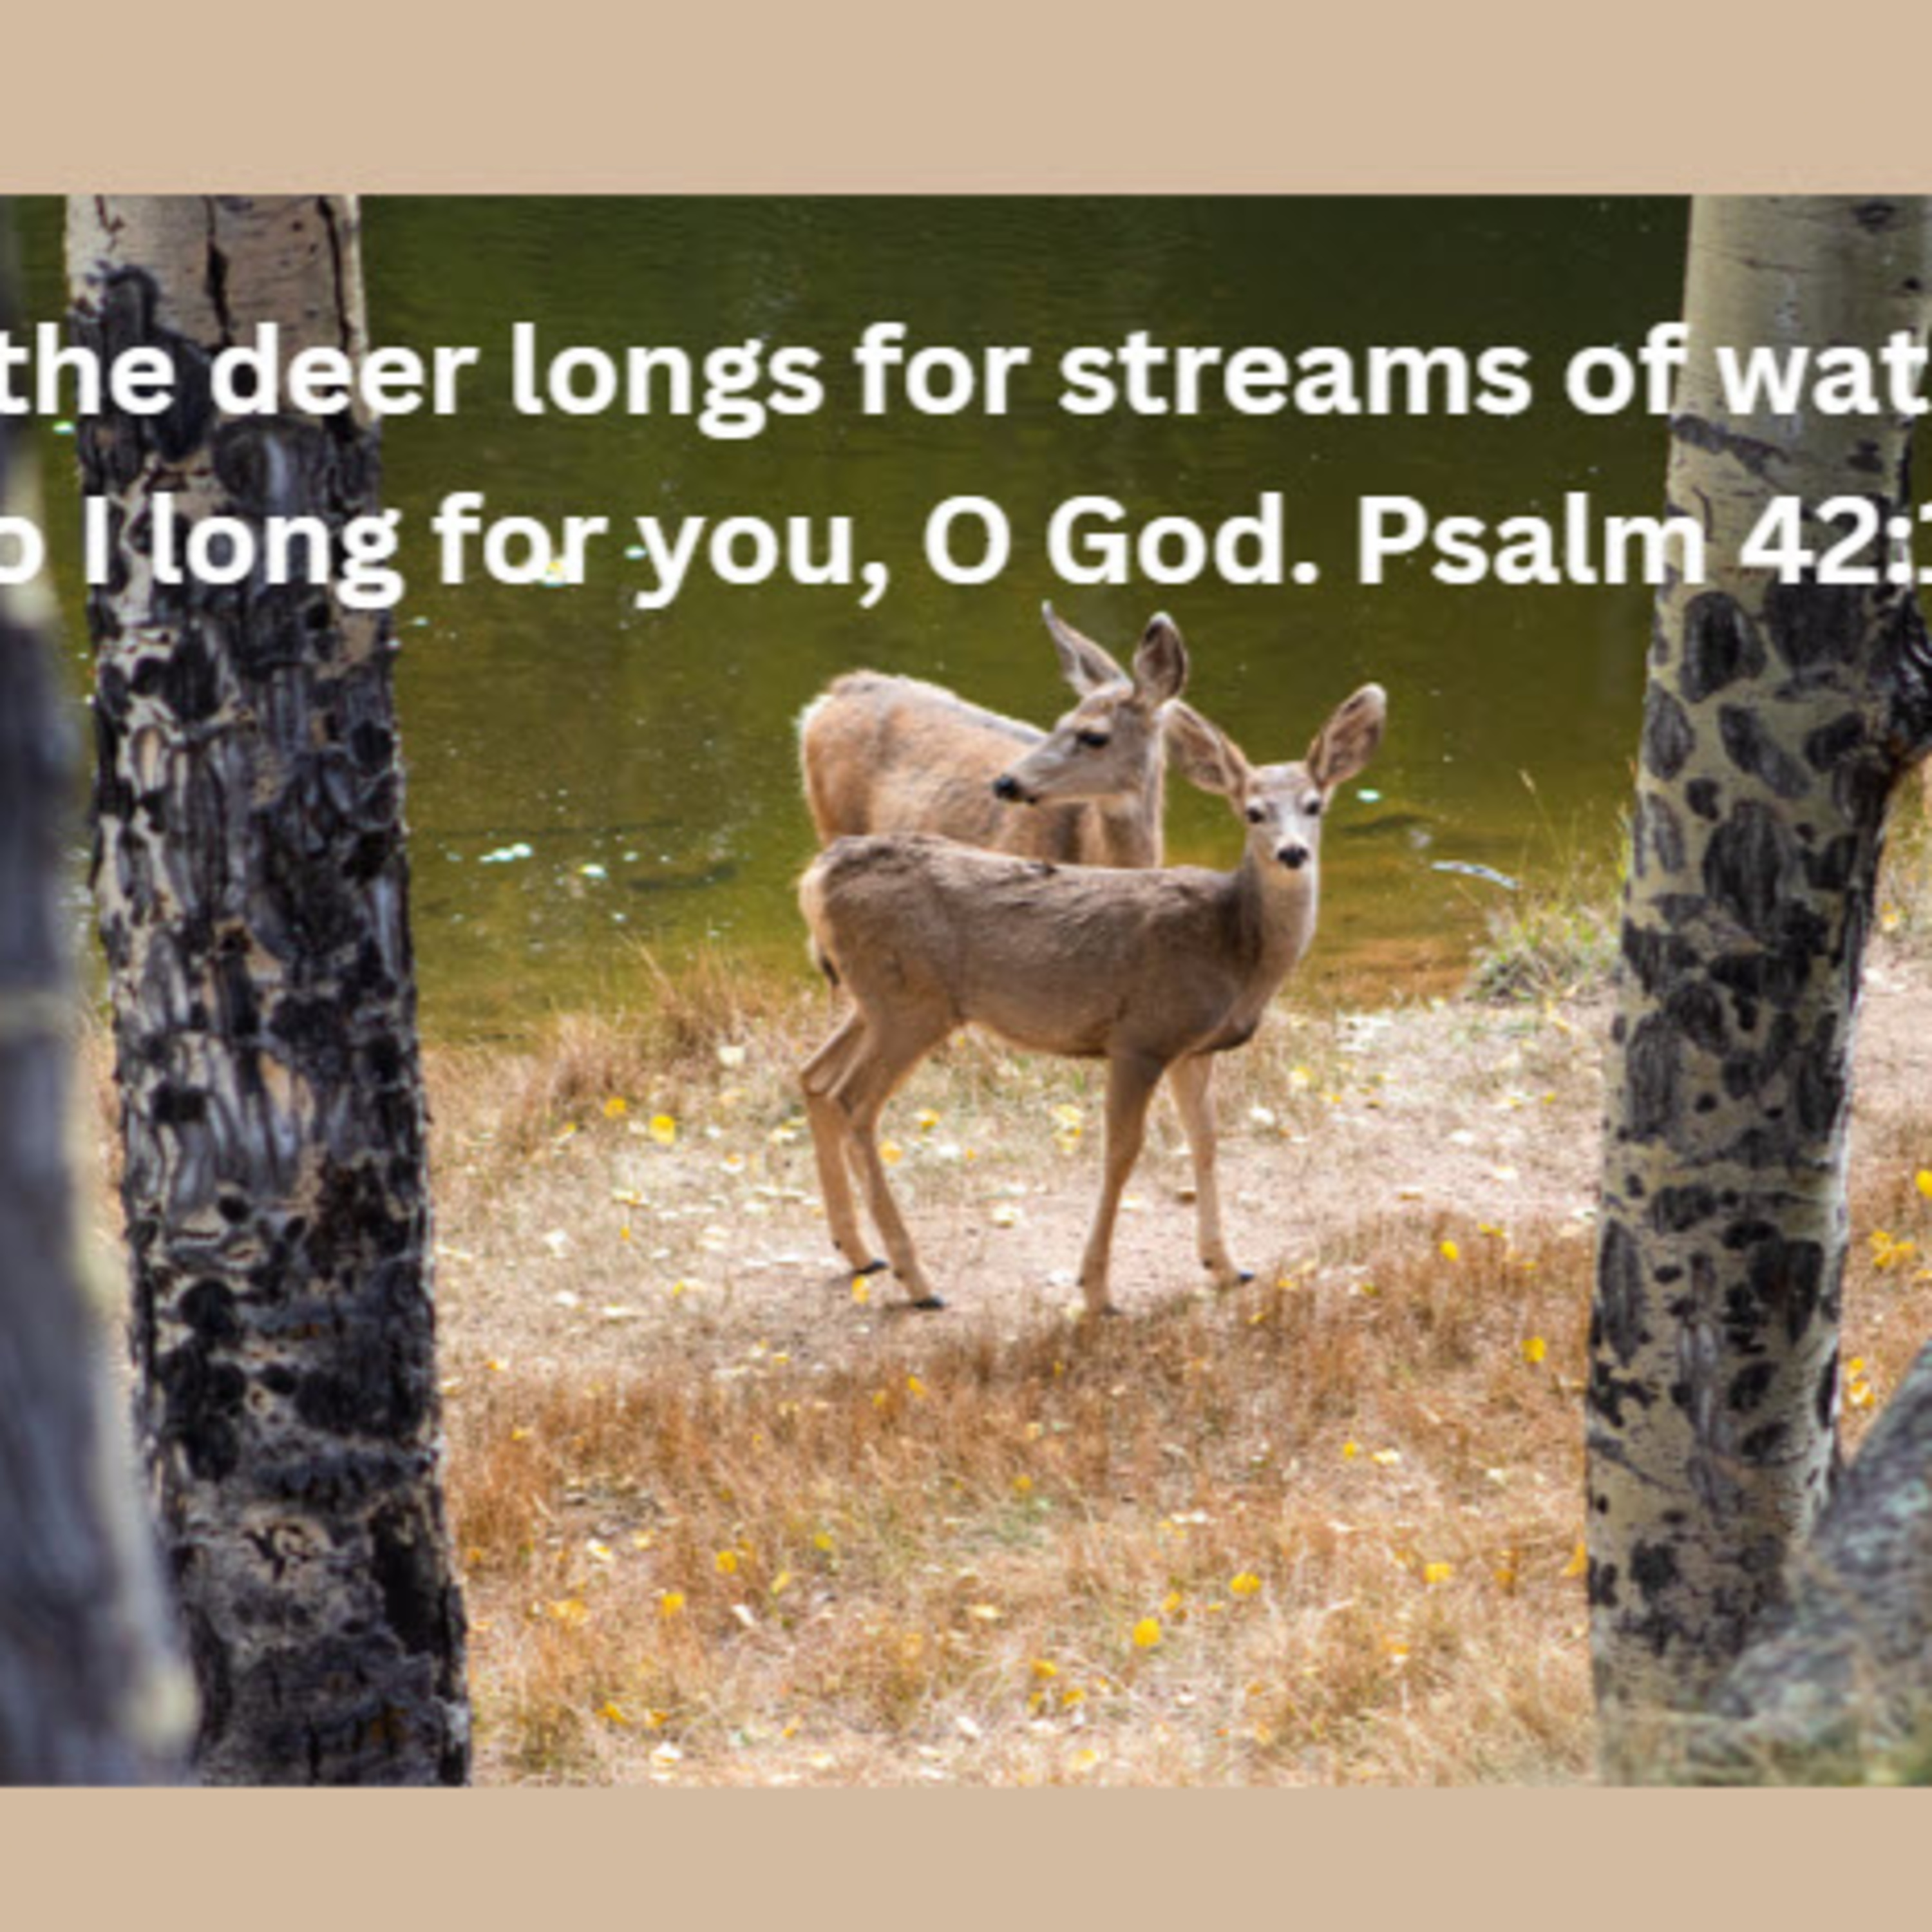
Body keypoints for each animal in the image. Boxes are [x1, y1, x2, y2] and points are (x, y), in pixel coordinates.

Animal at [797, 604, 1248, 1285]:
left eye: (1093, 735)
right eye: (1060, 722)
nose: (1007, 783)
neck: (1092, 850)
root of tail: (830, 696)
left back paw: (859, 1250)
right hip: (836, 835)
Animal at [797, 685, 1387, 1314]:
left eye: (1314, 805)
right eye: (1253, 812)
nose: (1293, 853)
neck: (1235, 945)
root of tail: (814, 878)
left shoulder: (1193, 1048)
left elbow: (1204, 1141)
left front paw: (1226, 1267)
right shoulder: (1141, 1037)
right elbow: (1123, 1152)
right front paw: (1099, 1290)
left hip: (880, 999)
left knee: (815, 1078)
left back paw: (861, 1254)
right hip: (911, 1003)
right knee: (855, 1101)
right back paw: (919, 1281)